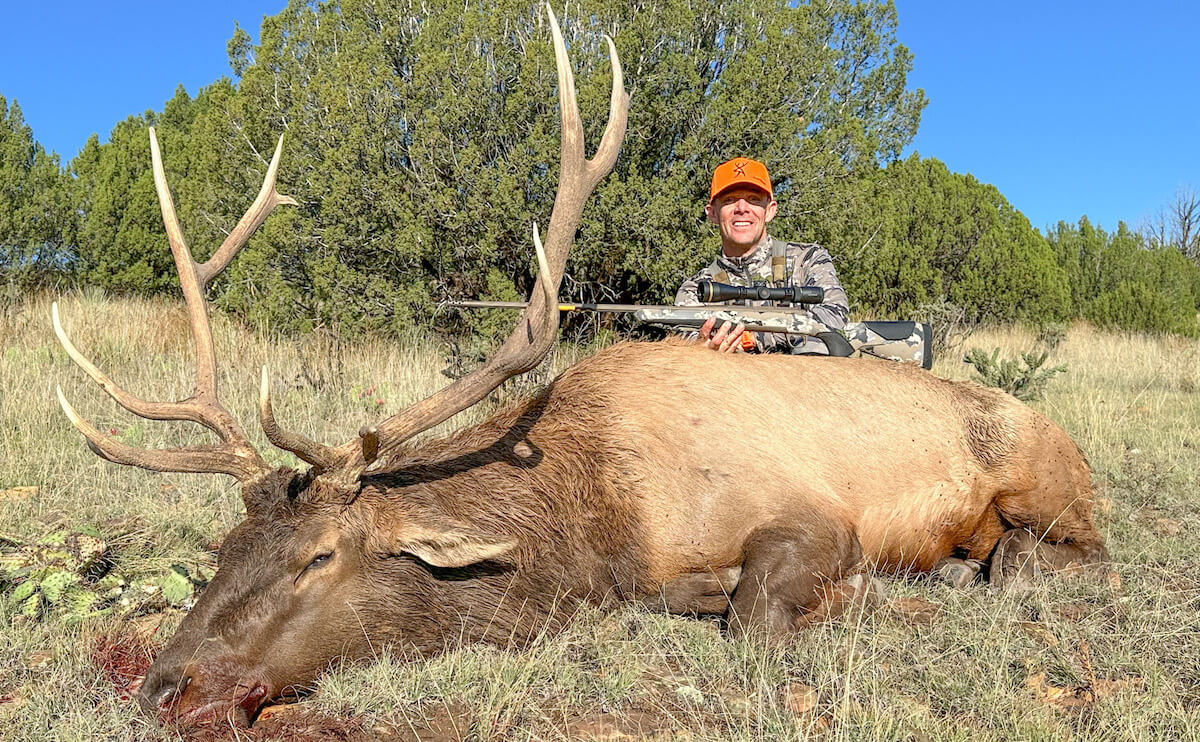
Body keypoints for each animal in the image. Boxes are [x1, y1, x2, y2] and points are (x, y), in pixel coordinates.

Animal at [56, 2, 1104, 725]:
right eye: (223, 551)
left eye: (319, 556)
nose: (161, 684)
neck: (597, 517)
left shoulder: (814, 514)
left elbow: (754, 612)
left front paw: (835, 598)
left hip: (1044, 478)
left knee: (1058, 555)